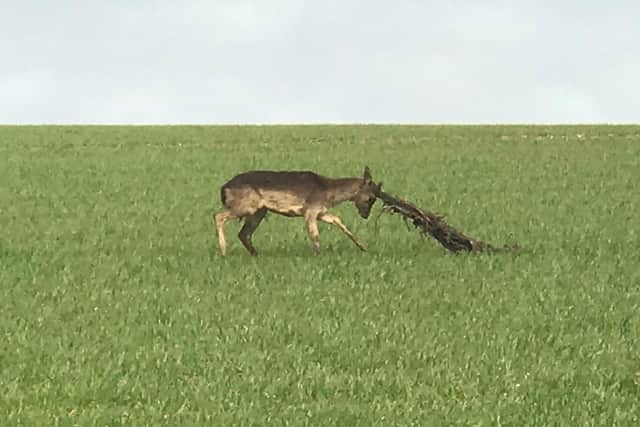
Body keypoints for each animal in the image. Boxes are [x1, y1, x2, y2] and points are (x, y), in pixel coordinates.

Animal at [213, 166, 382, 256]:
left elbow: (338, 220)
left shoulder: (321, 212)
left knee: (244, 233)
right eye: (371, 198)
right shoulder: (310, 210)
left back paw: (256, 254)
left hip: (259, 211)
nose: (365, 215)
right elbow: (315, 235)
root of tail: (223, 188)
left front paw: (363, 247)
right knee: (218, 215)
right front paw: (318, 254)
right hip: (247, 207)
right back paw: (223, 251)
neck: (329, 193)